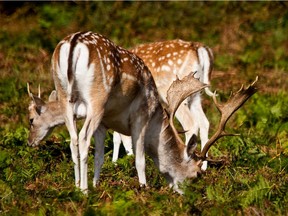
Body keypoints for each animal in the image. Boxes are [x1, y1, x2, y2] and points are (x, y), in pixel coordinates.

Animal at [27, 31, 256, 194]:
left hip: (78, 99)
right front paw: (141, 186)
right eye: (195, 175)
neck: (155, 118)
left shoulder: (110, 119)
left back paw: (78, 187)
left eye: (30, 120)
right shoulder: (137, 116)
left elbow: (107, 152)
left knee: (76, 139)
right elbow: (137, 155)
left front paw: (99, 182)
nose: (29, 142)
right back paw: (81, 189)